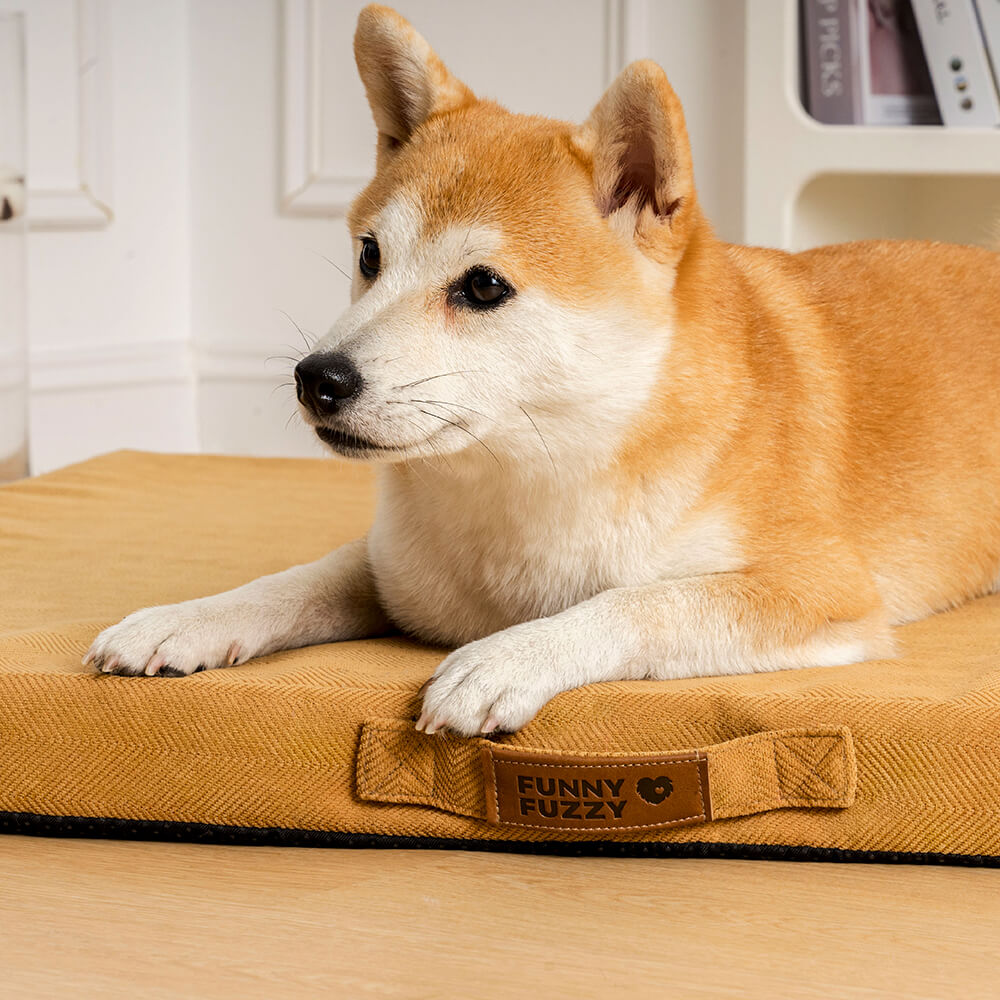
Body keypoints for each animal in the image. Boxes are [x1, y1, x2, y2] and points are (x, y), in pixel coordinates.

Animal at [86, 3, 1000, 740]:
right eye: (370, 256)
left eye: (483, 287)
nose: (320, 377)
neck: (531, 480)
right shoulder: (394, 570)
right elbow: (298, 580)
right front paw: (186, 619)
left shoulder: (823, 590)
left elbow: (641, 600)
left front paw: (509, 657)